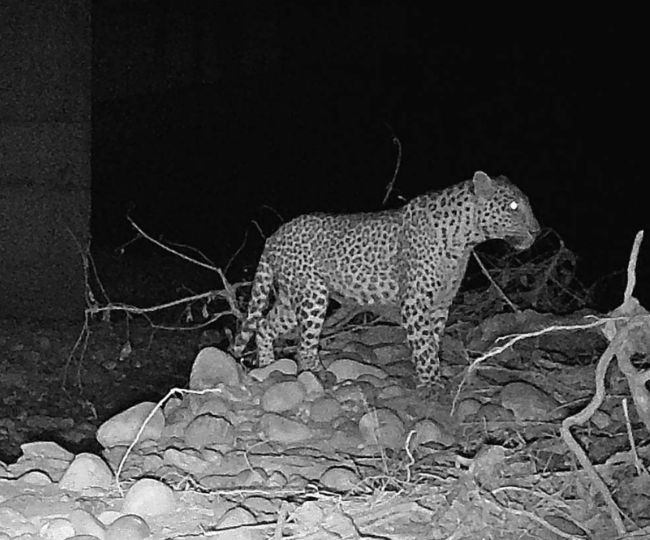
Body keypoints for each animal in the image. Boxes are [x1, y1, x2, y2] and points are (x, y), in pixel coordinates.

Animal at [232, 171, 540, 386]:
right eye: (513, 206)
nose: (537, 230)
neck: (465, 239)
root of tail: (274, 236)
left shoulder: (440, 304)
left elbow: (433, 341)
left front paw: (433, 378)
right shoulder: (415, 302)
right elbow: (423, 345)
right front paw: (431, 386)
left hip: (290, 296)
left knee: (264, 326)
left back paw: (266, 366)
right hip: (312, 295)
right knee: (304, 344)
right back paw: (317, 374)